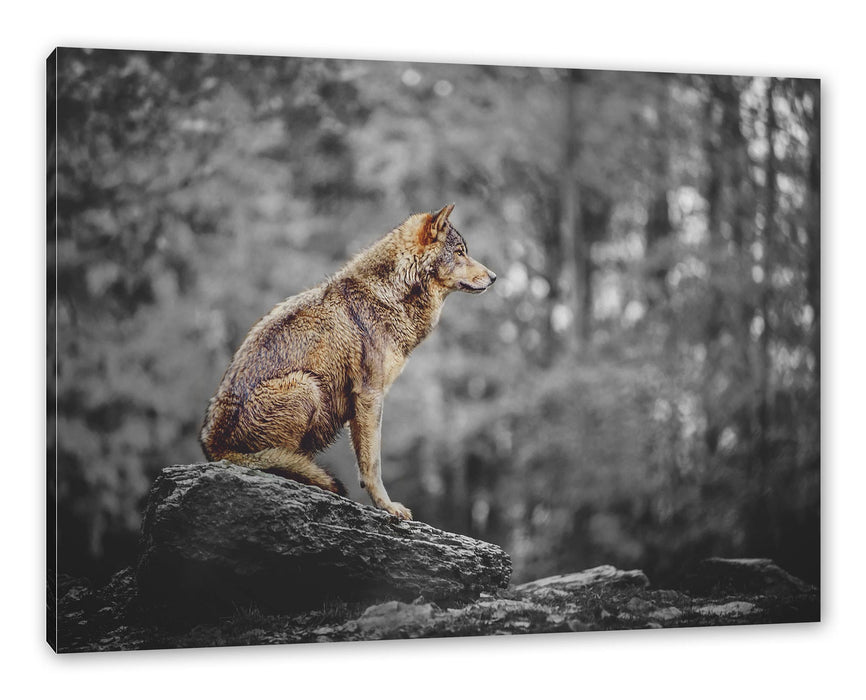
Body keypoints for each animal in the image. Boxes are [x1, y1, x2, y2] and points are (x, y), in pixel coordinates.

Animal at [200, 204, 496, 519]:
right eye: (460, 252)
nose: (494, 277)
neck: (389, 295)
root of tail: (213, 447)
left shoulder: (362, 402)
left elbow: (366, 461)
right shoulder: (369, 395)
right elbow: (372, 464)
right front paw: (388, 507)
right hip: (307, 386)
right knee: (279, 461)